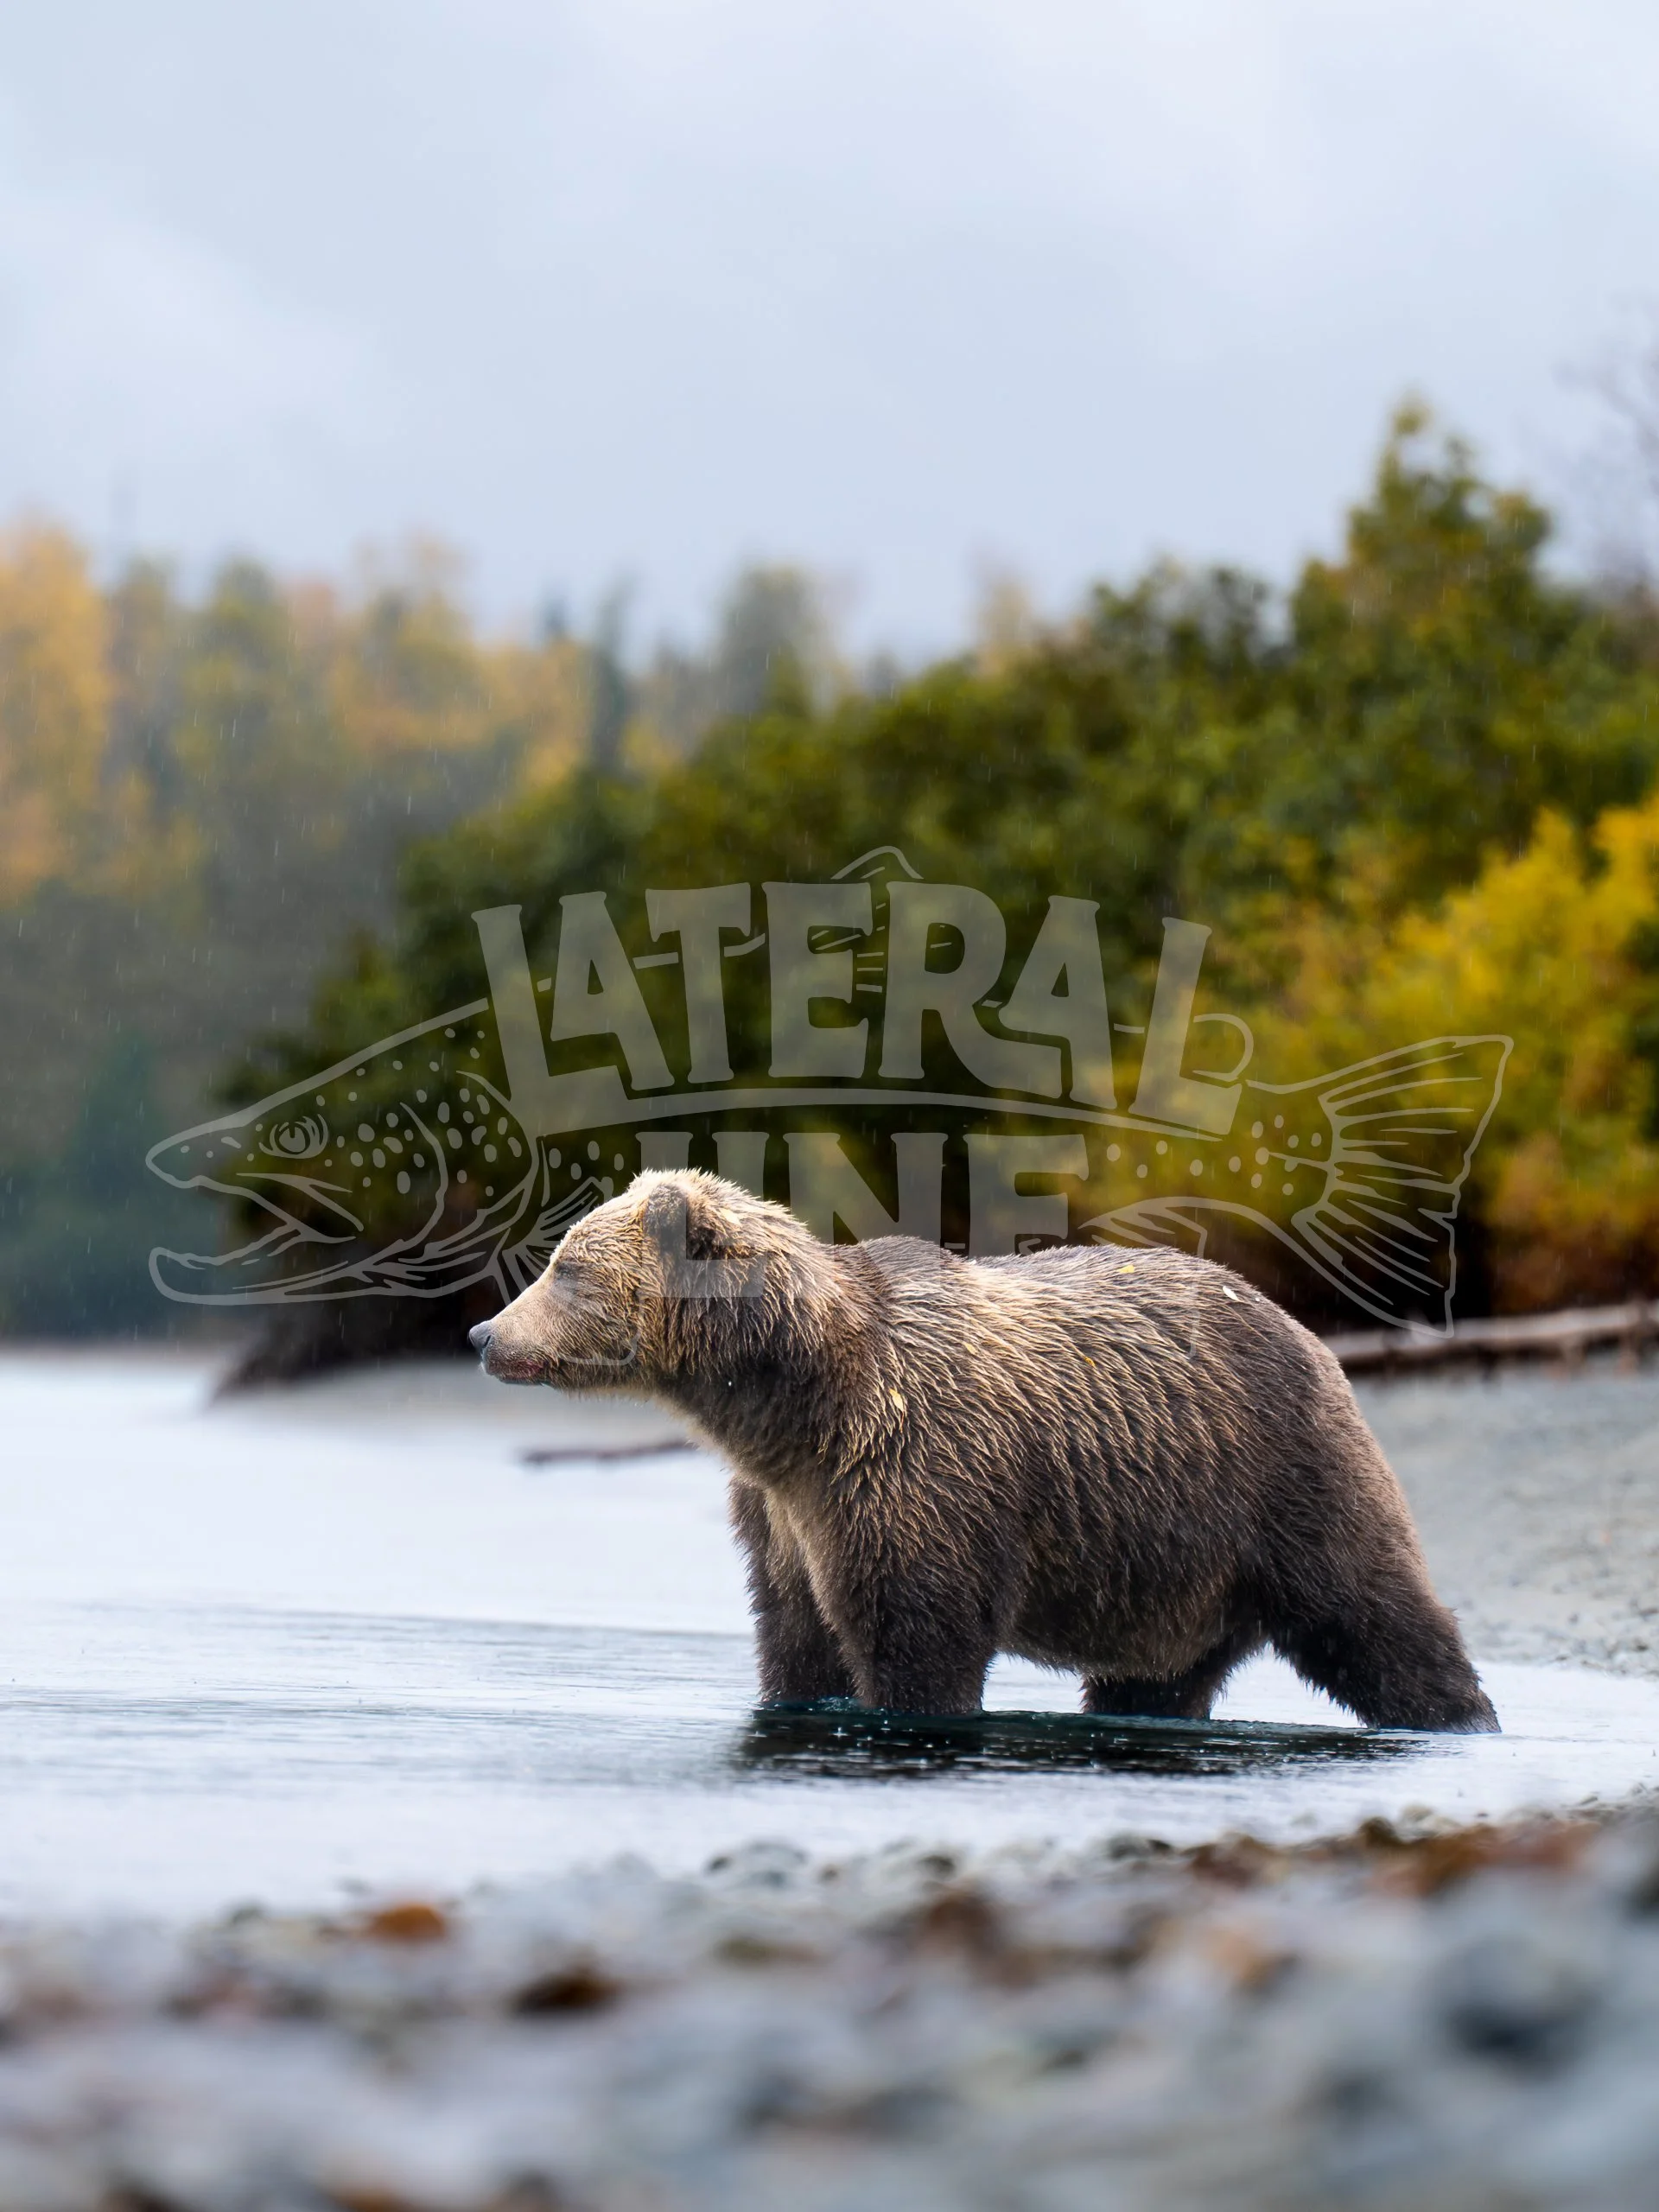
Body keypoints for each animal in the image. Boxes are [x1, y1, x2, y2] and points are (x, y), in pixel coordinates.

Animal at [470, 1168, 1497, 1731]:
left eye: (564, 1267)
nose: (484, 1333)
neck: (794, 1402)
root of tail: (1313, 1336)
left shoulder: (909, 1472)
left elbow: (919, 1636)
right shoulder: (783, 1512)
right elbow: (795, 1641)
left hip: (1280, 1477)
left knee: (1376, 1617)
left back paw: (1460, 1717)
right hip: (1174, 1570)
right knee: (1158, 1680)